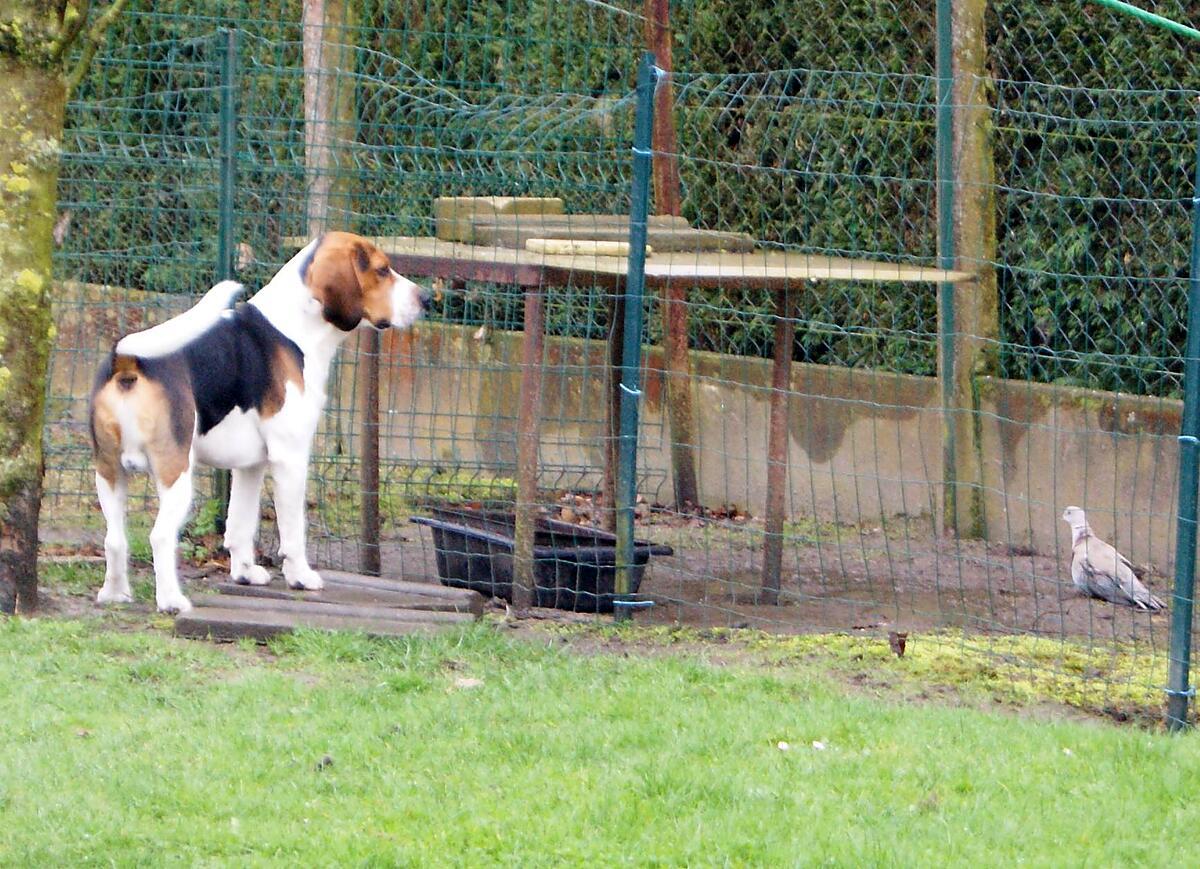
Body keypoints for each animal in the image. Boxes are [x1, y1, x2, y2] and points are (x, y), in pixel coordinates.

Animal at [88, 230, 429, 612]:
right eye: (382, 270)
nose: (426, 299)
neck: (294, 326)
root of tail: (127, 359)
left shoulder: (249, 466)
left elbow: (239, 525)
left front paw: (244, 573)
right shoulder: (290, 458)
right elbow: (293, 531)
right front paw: (300, 576)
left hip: (109, 472)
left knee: (114, 539)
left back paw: (115, 594)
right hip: (175, 474)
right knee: (160, 536)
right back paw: (172, 600)